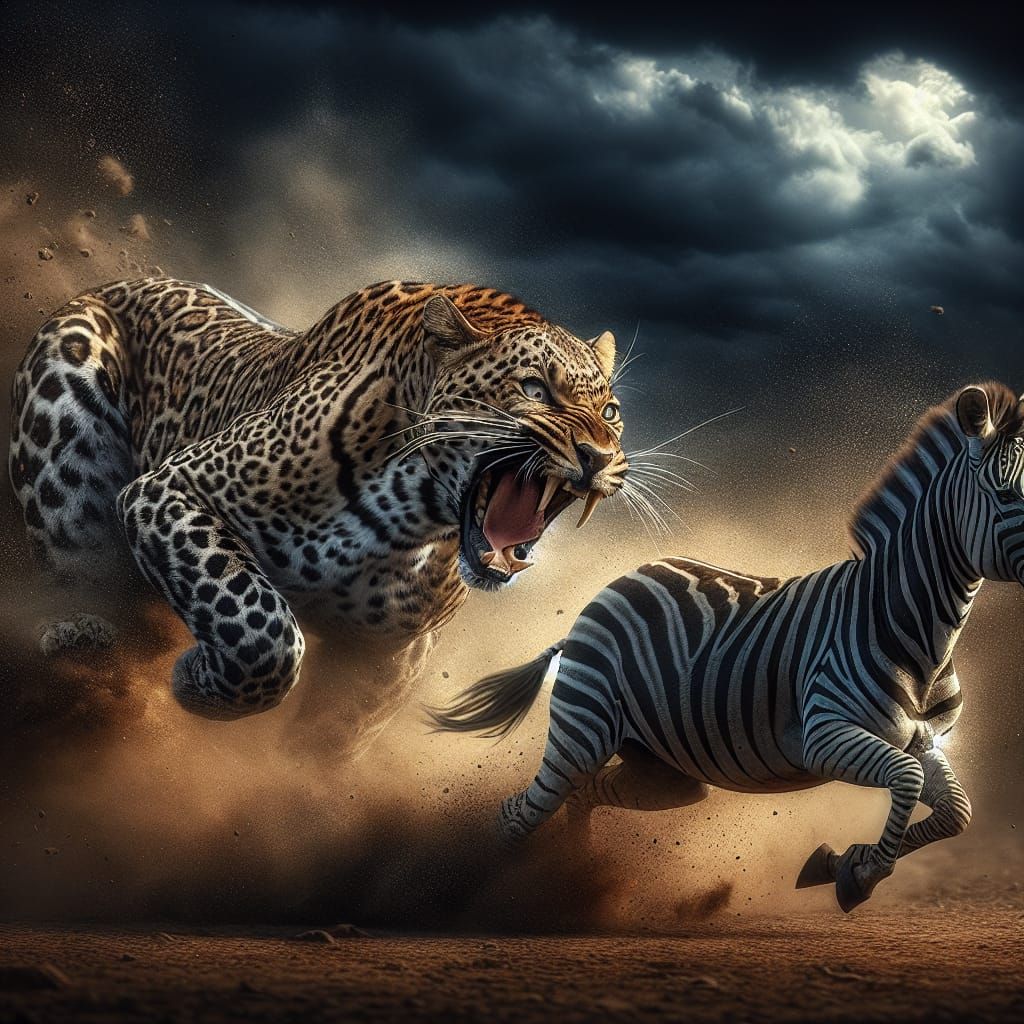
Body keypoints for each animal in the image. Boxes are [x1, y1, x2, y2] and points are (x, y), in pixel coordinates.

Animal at [8, 276, 627, 755]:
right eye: (534, 389)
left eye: (611, 411)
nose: (599, 456)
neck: (413, 520)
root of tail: (121, 283)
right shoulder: (169, 491)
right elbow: (264, 629)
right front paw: (196, 681)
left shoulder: (391, 652)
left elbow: (333, 737)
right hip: (72, 496)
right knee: (90, 593)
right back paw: (84, 649)